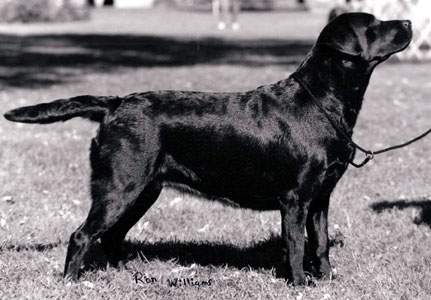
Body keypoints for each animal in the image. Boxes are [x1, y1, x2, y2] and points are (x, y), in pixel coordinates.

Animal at [5, 12, 414, 284]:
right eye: (373, 26)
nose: (410, 22)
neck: (321, 103)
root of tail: (115, 103)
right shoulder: (295, 197)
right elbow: (297, 244)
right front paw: (299, 284)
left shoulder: (321, 196)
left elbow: (322, 242)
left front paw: (327, 280)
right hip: (120, 186)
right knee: (83, 234)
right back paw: (72, 282)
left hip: (143, 191)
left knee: (111, 234)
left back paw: (124, 272)